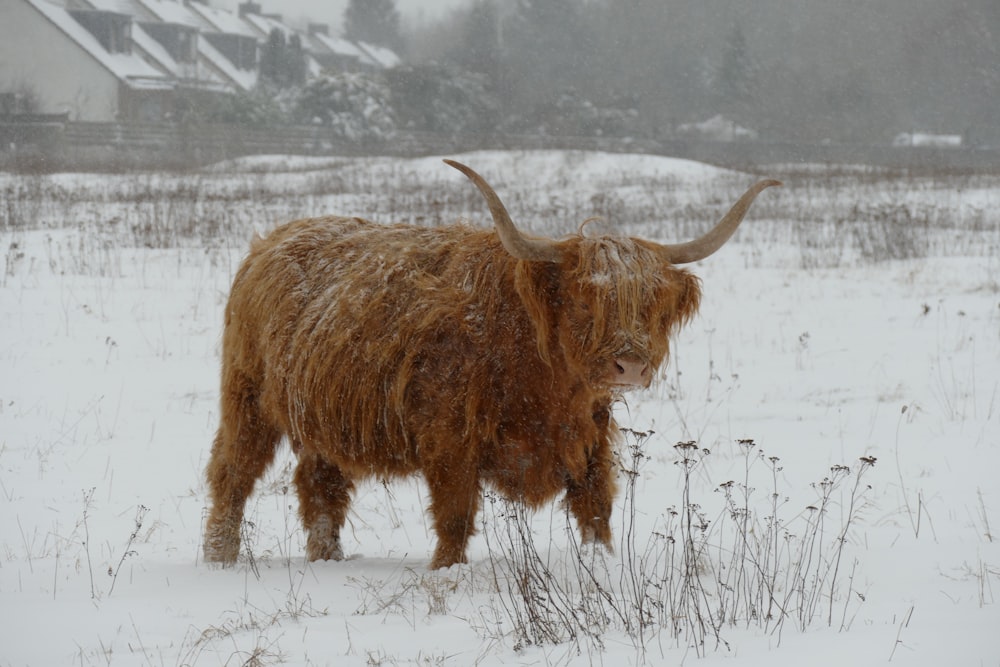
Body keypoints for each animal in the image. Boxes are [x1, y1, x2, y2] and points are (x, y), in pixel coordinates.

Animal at [201, 160, 780, 568]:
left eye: (651, 302)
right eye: (585, 300)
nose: (630, 366)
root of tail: (268, 243)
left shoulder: (589, 437)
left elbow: (596, 509)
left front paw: (601, 565)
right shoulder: (449, 438)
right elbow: (456, 515)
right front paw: (445, 573)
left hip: (323, 415)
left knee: (320, 486)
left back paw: (328, 559)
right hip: (246, 398)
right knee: (233, 473)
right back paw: (219, 558)